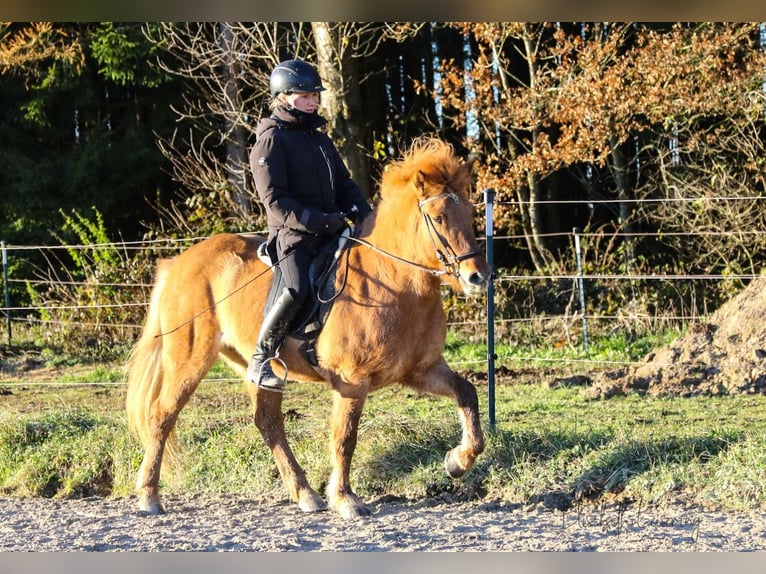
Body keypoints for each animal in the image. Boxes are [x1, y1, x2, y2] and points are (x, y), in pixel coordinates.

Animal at [126, 137, 492, 520]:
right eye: (438, 218)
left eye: (470, 214)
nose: (477, 277)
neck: (397, 283)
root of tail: (178, 262)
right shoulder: (351, 380)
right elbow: (345, 437)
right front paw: (345, 498)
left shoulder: (421, 369)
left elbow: (467, 393)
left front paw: (457, 461)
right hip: (189, 360)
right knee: (162, 414)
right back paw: (149, 495)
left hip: (261, 370)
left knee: (268, 423)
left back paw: (305, 494)